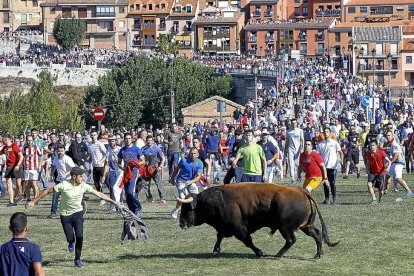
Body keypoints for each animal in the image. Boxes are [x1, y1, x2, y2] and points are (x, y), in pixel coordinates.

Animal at [176, 183, 338, 258]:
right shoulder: (224, 227)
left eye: (186, 208)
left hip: (285, 227)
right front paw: (216, 250)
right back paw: (318, 254)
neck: (219, 199)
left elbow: (248, 241)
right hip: (305, 225)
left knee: (291, 240)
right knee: (317, 234)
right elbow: (219, 236)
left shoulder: (240, 229)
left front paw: (259, 252)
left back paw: (278, 254)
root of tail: (301, 191)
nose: (181, 223)